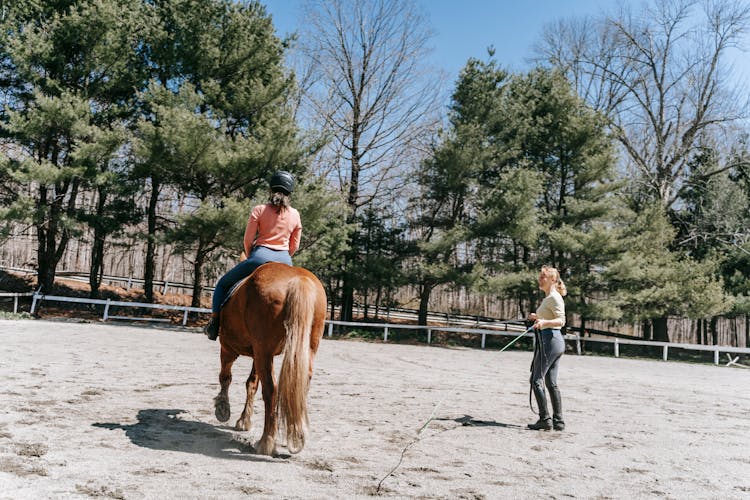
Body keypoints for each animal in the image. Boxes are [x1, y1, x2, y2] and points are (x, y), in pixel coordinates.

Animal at [213, 262, 328, 458]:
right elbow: (251, 383)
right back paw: (295, 436)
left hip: (262, 352)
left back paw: (266, 441)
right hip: (303, 349)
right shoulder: (258, 354)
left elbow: (225, 377)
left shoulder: (229, 348)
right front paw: (244, 420)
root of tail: (298, 279)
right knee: (300, 384)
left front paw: (222, 408)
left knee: (270, 389)